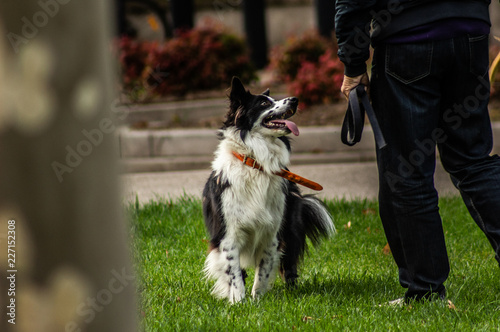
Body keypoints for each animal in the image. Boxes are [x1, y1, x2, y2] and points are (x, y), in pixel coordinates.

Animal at [201, 77, 334, 304]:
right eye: (264, 103)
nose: (295, 99)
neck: (256, 164)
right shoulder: (228, 235)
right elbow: (234, 274)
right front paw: (238, 302)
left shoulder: (272, 233)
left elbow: (262, 272)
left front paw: (257, 300)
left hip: (290, 229)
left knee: (289, 265)